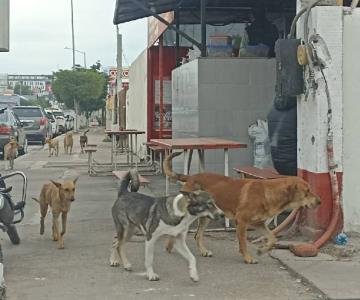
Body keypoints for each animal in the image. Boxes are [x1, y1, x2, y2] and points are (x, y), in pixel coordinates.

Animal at [163, 152, 320, 262]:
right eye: (307, 191)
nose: (320, 202)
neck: (269, 193)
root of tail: (190, 177)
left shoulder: (259, 223)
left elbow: (273, 238)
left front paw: (262, 250)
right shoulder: (242, 221)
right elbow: (243, 243)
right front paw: (248, 258)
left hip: (206, 217)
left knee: (197, 235)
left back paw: (203, 251)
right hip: (188, 214)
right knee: (176, 229)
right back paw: (170, 247)